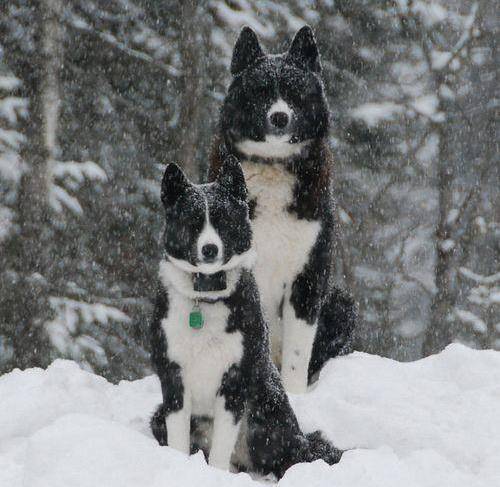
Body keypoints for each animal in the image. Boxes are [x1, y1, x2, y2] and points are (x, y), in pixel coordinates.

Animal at [150, 159, 342, 476]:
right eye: (192, 222)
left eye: (223, 220)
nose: (210, 249)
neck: (207, 299)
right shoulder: (173, 375)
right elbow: (178, 437)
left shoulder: (235, 380)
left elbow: (220, 448)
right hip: (158, 416)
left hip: (269, 415)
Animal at [209, 24, 358, 394]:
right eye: (261, 92)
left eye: (294, 92)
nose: (279, 117)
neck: (273, 168)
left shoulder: (309, 274)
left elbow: (298, 352)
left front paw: (294, 394)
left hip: (341, 304)